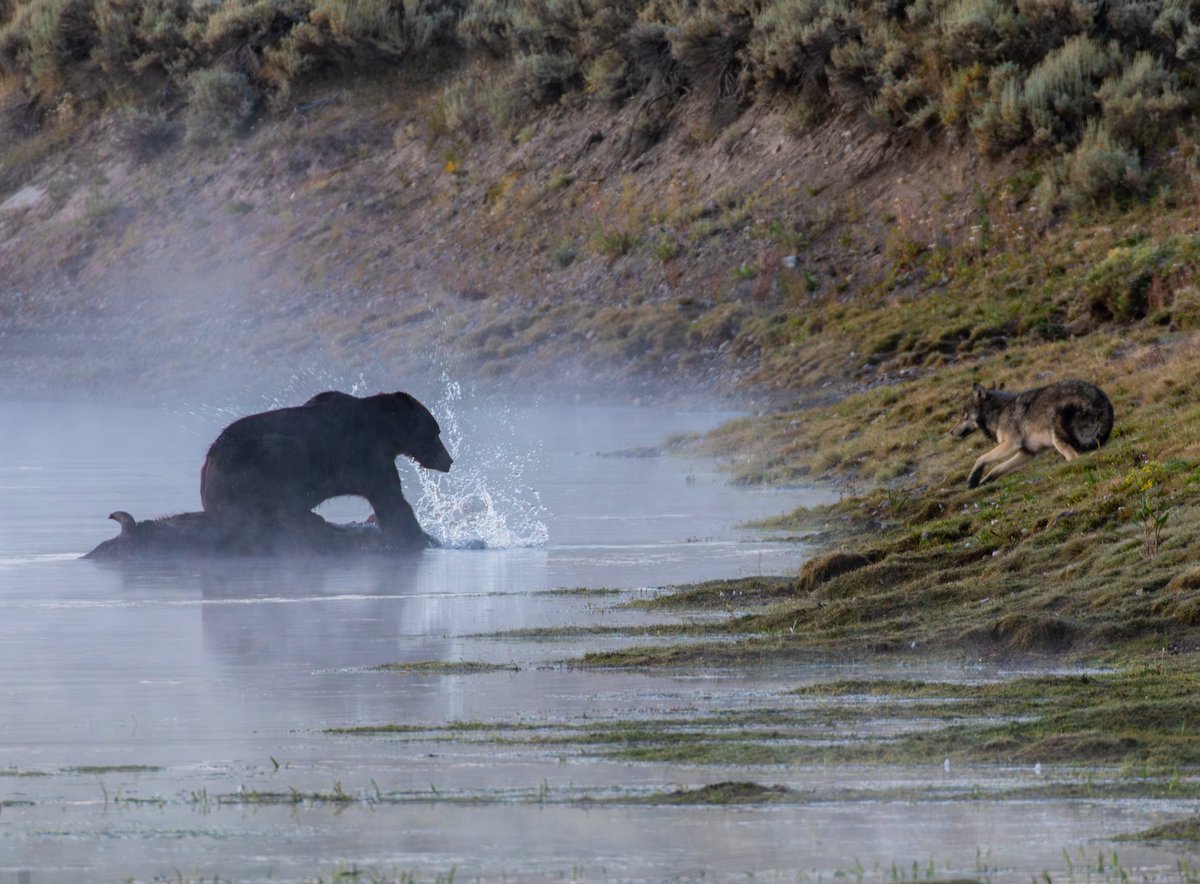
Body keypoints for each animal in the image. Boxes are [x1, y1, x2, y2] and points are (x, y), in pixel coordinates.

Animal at [200, 390, 453, 549]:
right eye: (436, 431)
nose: (448, 460)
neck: (386, 430)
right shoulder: (368, 454)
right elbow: (390, 498)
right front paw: (419, 536)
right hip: (260, 456)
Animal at [950, 380, 1113, 488]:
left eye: (963, 415)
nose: (951, 432)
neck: (998, 412)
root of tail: (1104, 405)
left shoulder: (1010, 444)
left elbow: (981, 457)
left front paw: (973, 478)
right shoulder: (1027, 452)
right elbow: (997, 468)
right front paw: (983, 481)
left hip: (1057, 436)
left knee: (1074, 458)